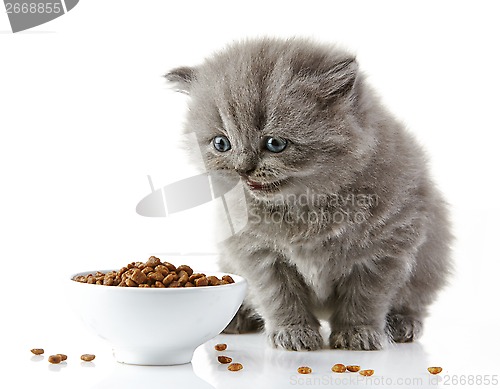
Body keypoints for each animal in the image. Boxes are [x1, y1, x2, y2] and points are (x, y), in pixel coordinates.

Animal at [166, 38, 452, 350]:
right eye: (221, 143)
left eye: (275, 144)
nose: (243, 169)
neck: (303, 205)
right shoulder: (257, 253)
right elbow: (279, 297)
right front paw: (294, 332)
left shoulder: (385, 249)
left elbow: (365, 298)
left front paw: (357, 334)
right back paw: (237, 318)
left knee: (413, 300)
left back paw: (403, 324)